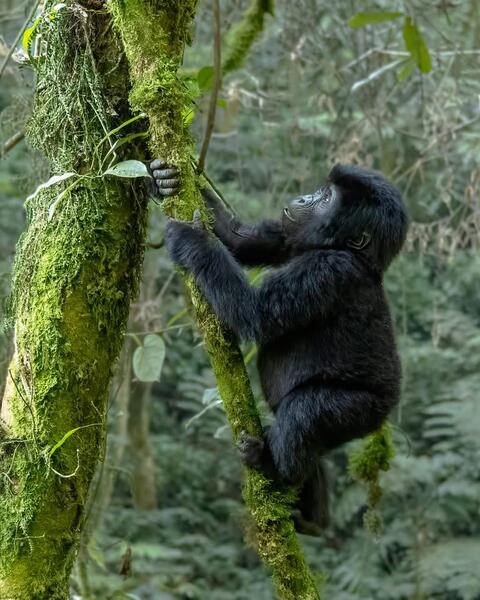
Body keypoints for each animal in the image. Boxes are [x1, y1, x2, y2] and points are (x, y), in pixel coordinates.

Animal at [151, 158, 408, 528]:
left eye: (326, 198)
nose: (304, 197)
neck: (347, 251)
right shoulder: (291, 239)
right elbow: (241, 238)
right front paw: (163, 180)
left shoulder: (327, 270)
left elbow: (254, 313)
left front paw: (192, 239)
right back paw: (313, 514)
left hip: (364, 411)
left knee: (306, 412)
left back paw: (274, 470)